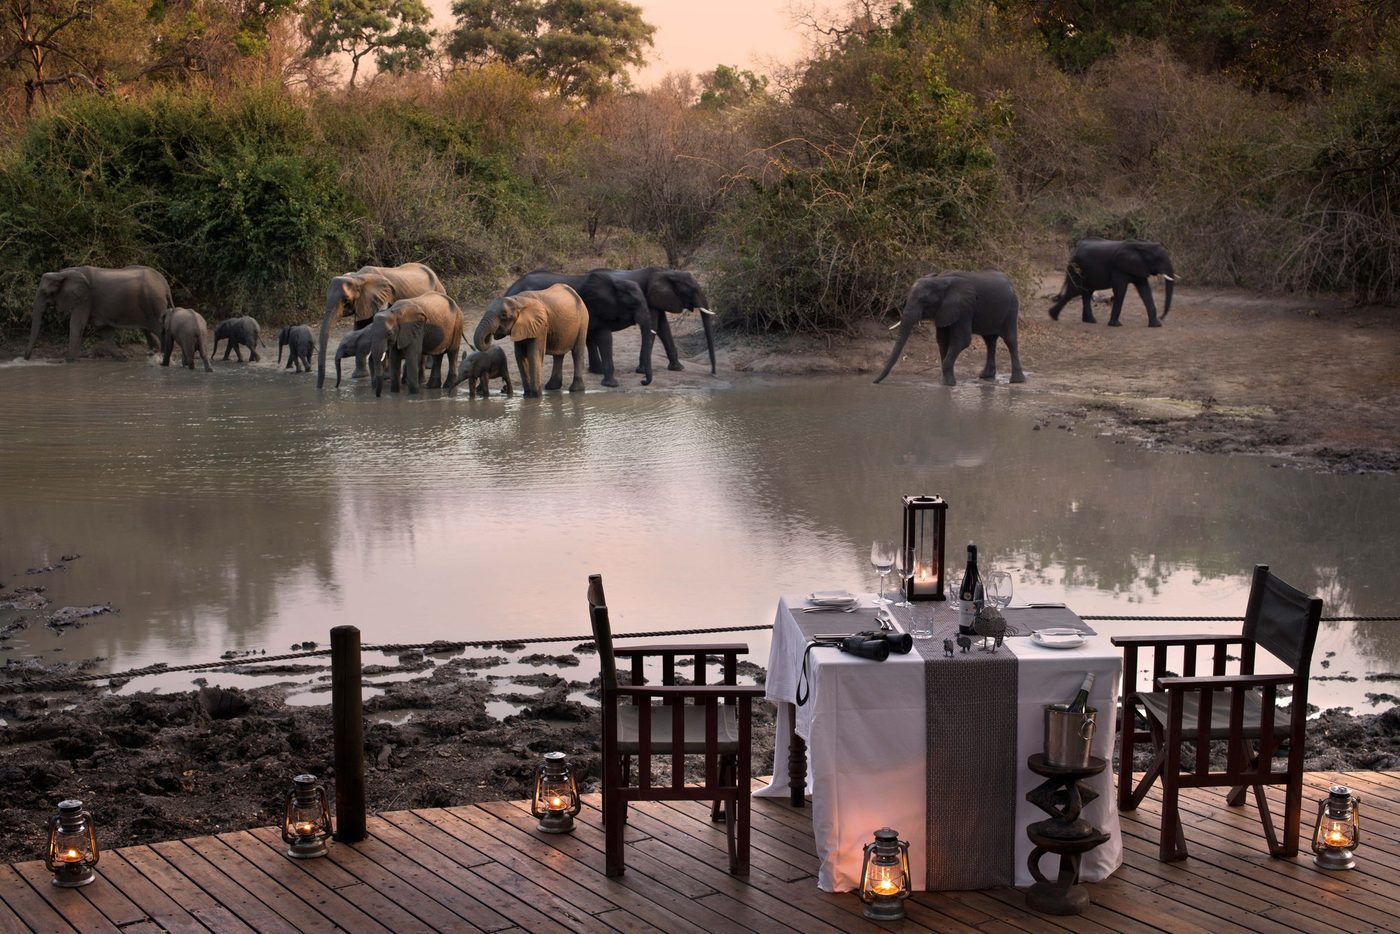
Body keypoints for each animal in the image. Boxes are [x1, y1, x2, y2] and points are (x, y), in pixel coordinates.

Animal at [24, 265, 174, 362]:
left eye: (46, 292)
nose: (25, 359)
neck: (62, 273)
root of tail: (165, 284)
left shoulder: (85, 298)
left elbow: (77, 324)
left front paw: (69, 361)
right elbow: (103, 329)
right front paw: (122, 358)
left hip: (153, 302)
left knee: (158, 330)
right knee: (147, 330)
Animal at [315, 263, 445, 388]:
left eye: (346, 301)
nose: (320, 387)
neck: (358, 277)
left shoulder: (384, 300)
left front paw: (385, 377)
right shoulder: (364, 302)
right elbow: (359, 328)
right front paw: (359, 376)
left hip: (438, 295)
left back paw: (428, 366)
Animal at [505, 270, 654, 387]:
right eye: (635, 304)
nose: (642, 381)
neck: (616, 283)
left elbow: (590, 338)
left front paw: (597, 371)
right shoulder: (596, 309)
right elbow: (605, 338)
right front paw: (611, 384)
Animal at [874, 270, 1025, 387]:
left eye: (923, 301)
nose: (874, 382)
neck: (940, 280)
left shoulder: (964, 307)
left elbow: (962, 340)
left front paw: (948, 384)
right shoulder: (943, 310)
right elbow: (942, 340)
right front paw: (945, 382)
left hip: (1012, 307)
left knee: (1010, 340)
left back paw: (1016, 381)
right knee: (989, 340)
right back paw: (985, 376)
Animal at [1047, 238, 1176, 327]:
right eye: (1158, 259)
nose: (1162, 317)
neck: (1142, 245)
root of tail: (1074, 250)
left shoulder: (1139, 267)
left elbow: (1145, 291)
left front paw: (1156, 325)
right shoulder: (1118, 268)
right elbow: (1120, 290)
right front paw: (1116, 325)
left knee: (1086, 292)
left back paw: (1090, 321)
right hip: (1076, 268)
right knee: (1075, 291)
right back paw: (1052, 316)